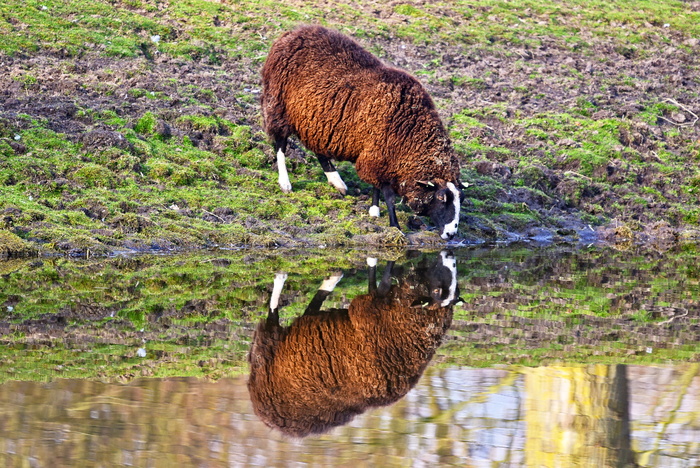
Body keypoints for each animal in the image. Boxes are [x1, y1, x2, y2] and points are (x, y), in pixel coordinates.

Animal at [246, 250, 460, 436]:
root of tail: (264, 414)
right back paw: (287, 277)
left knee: (298, 314)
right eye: (437, 289)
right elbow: (380, 279)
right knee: (277, 317)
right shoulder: (370, 305)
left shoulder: (368, 306)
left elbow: (379, 283)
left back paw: (325, 279)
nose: (449, 255)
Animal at [262, 24, 464, 238]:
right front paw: (395, 225)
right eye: (441, 198)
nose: (452, 234)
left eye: (462, 200)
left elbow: (377, 187)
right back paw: (285, 183)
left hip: (315, 122)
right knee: (280, 144)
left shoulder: (377, 155)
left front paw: (374, 211)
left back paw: (337, 182)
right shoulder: (376, 155)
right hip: (278, 105)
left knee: (318, 150)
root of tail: (293, 32)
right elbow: (388, 195)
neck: (410, 130)